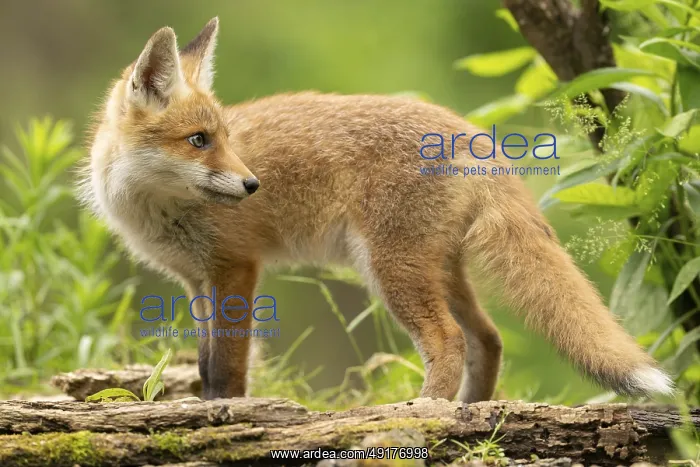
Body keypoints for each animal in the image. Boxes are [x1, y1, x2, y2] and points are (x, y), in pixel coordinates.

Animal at [82, 17, 674, 402]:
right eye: (200, 140)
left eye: (223, 139)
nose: (253, 184)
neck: (155, 210)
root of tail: (470, 132)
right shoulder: (197, 280)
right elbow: (205, 362)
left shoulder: (235, 268)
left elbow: (226, 368)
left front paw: (221, 412)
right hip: (438, 269)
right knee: (488, 337)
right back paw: (472, 409)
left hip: (391, 268)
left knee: (450, 341)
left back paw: (425, 411)